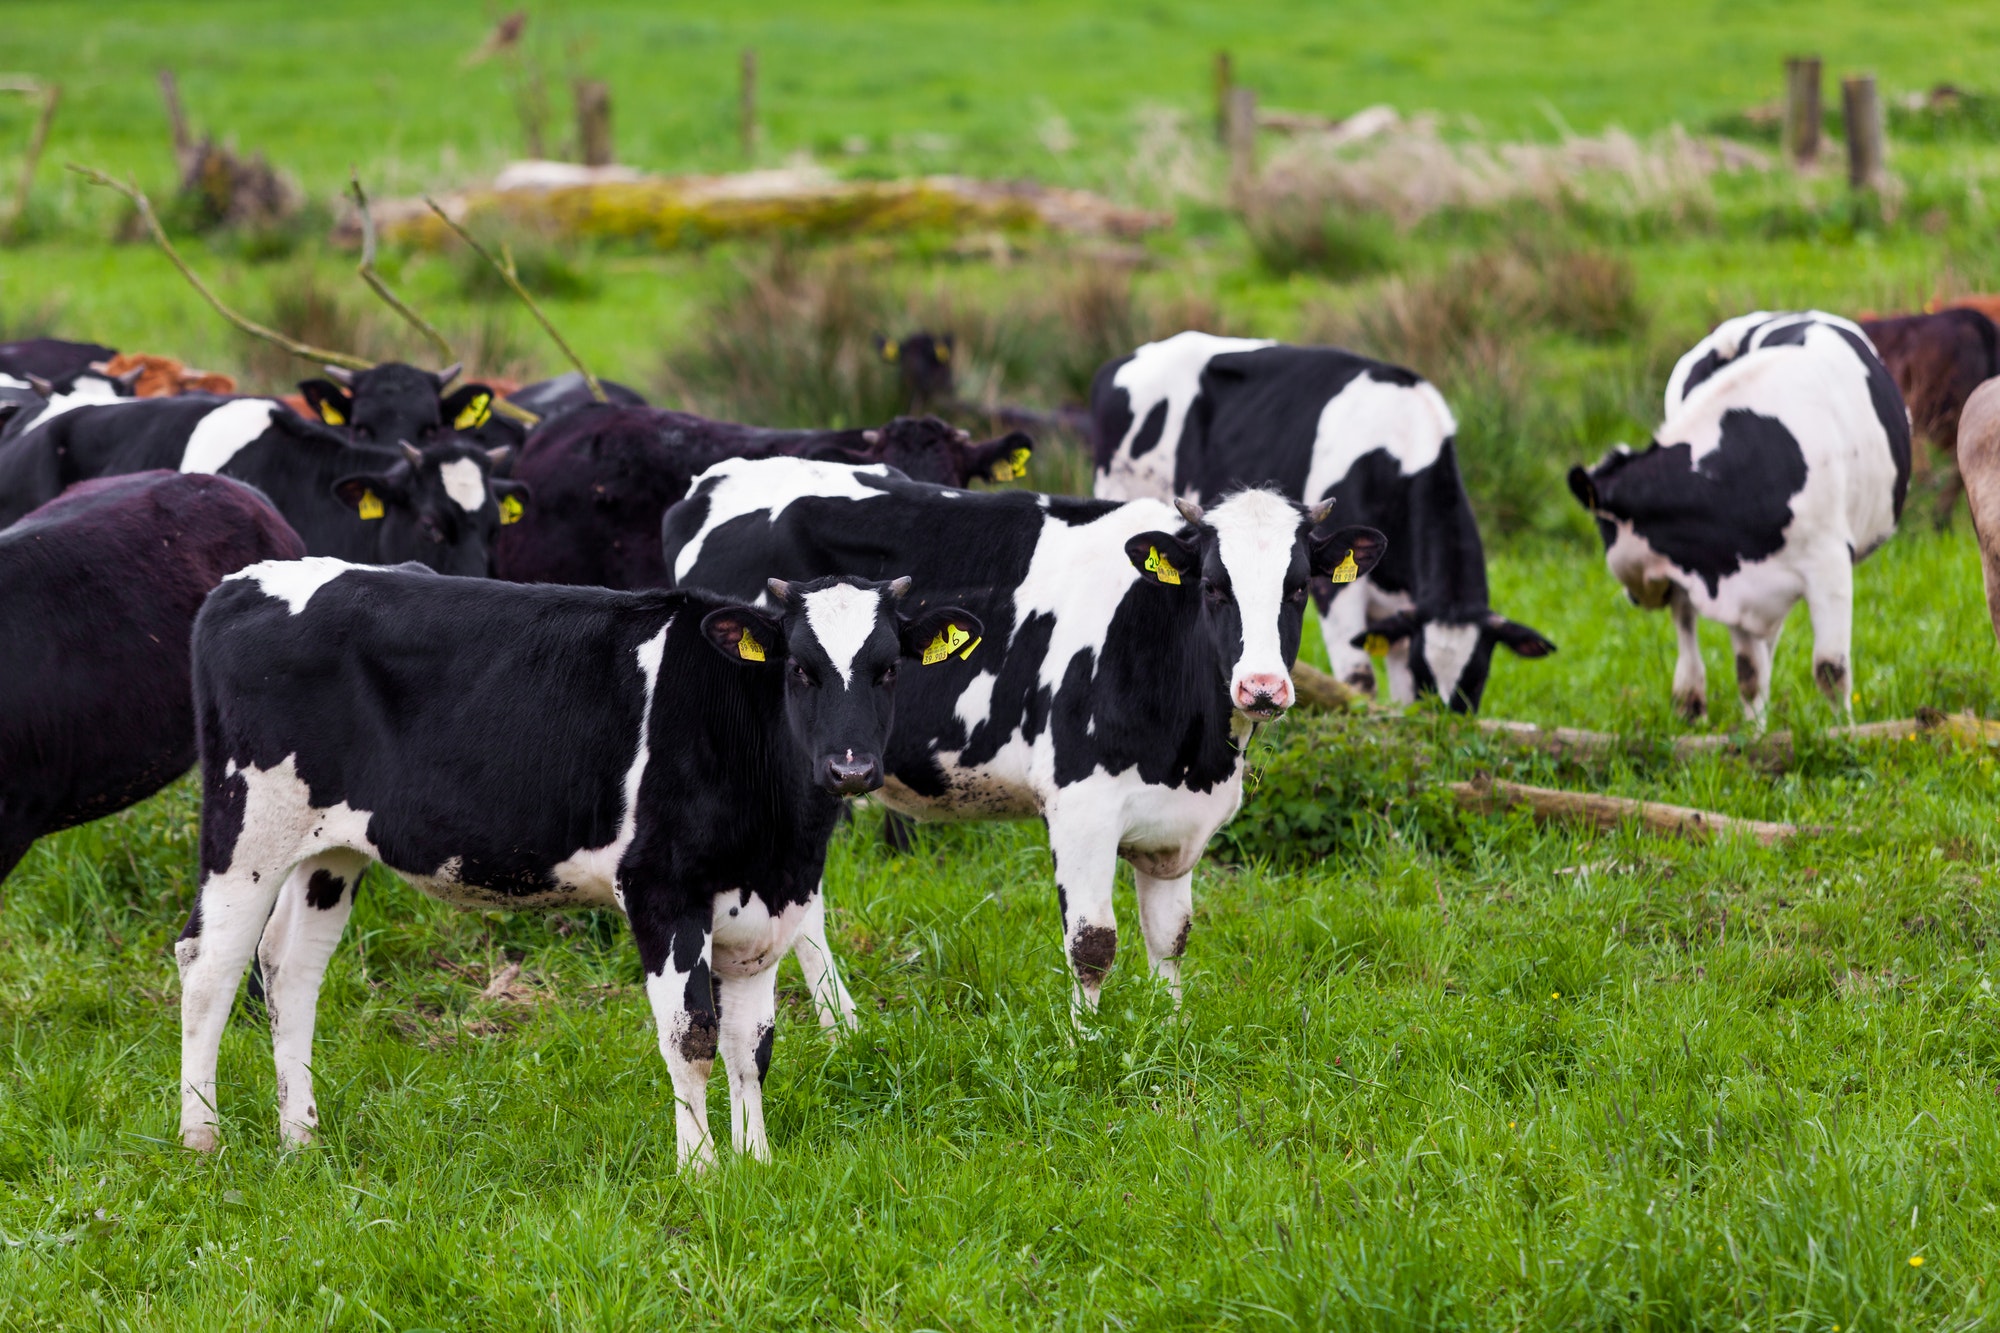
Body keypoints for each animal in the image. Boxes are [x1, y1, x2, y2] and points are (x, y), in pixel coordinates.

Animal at [176, 560, 979, 1169]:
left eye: (886, 670)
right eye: (803, 670)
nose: (851, 767)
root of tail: (242, 583)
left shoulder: (765, 910)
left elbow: (753, 1047)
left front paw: (758, 1163)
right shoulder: (661, 891)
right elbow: (691, 1038)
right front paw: (701, 1170)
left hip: (330, 847)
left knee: (289, 970)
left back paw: (300, 1139)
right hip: (247, 828)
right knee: (209, 965)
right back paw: (202, 1139)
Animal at [662, 457, 1386, 1012]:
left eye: (1299, 588)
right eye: (1212, 586)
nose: (1262, 687)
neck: (1197, 752)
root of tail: (716, 478)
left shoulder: (1177, 822)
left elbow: (1171, 935)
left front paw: (1171, 1027)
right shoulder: (1081, 805)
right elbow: (1093, 944)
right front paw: (1087, 1046)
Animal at [1089, 331, 1553, 711]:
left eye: (1476, 679)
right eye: (1426, 674)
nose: (1447, 722)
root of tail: (1124, 361)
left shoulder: (1403, 612)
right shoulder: (1337, 592)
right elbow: (1359, 681)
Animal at [1570, 312, 1910, 729]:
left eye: (1603, 531)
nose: (1632, 597)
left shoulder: (1828, 564)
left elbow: (1830, 668)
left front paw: (1842, 732)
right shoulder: (1728, 567)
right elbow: (1748, 672)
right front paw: (1754, 733)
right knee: (1687, 619)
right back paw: (1691, 701)